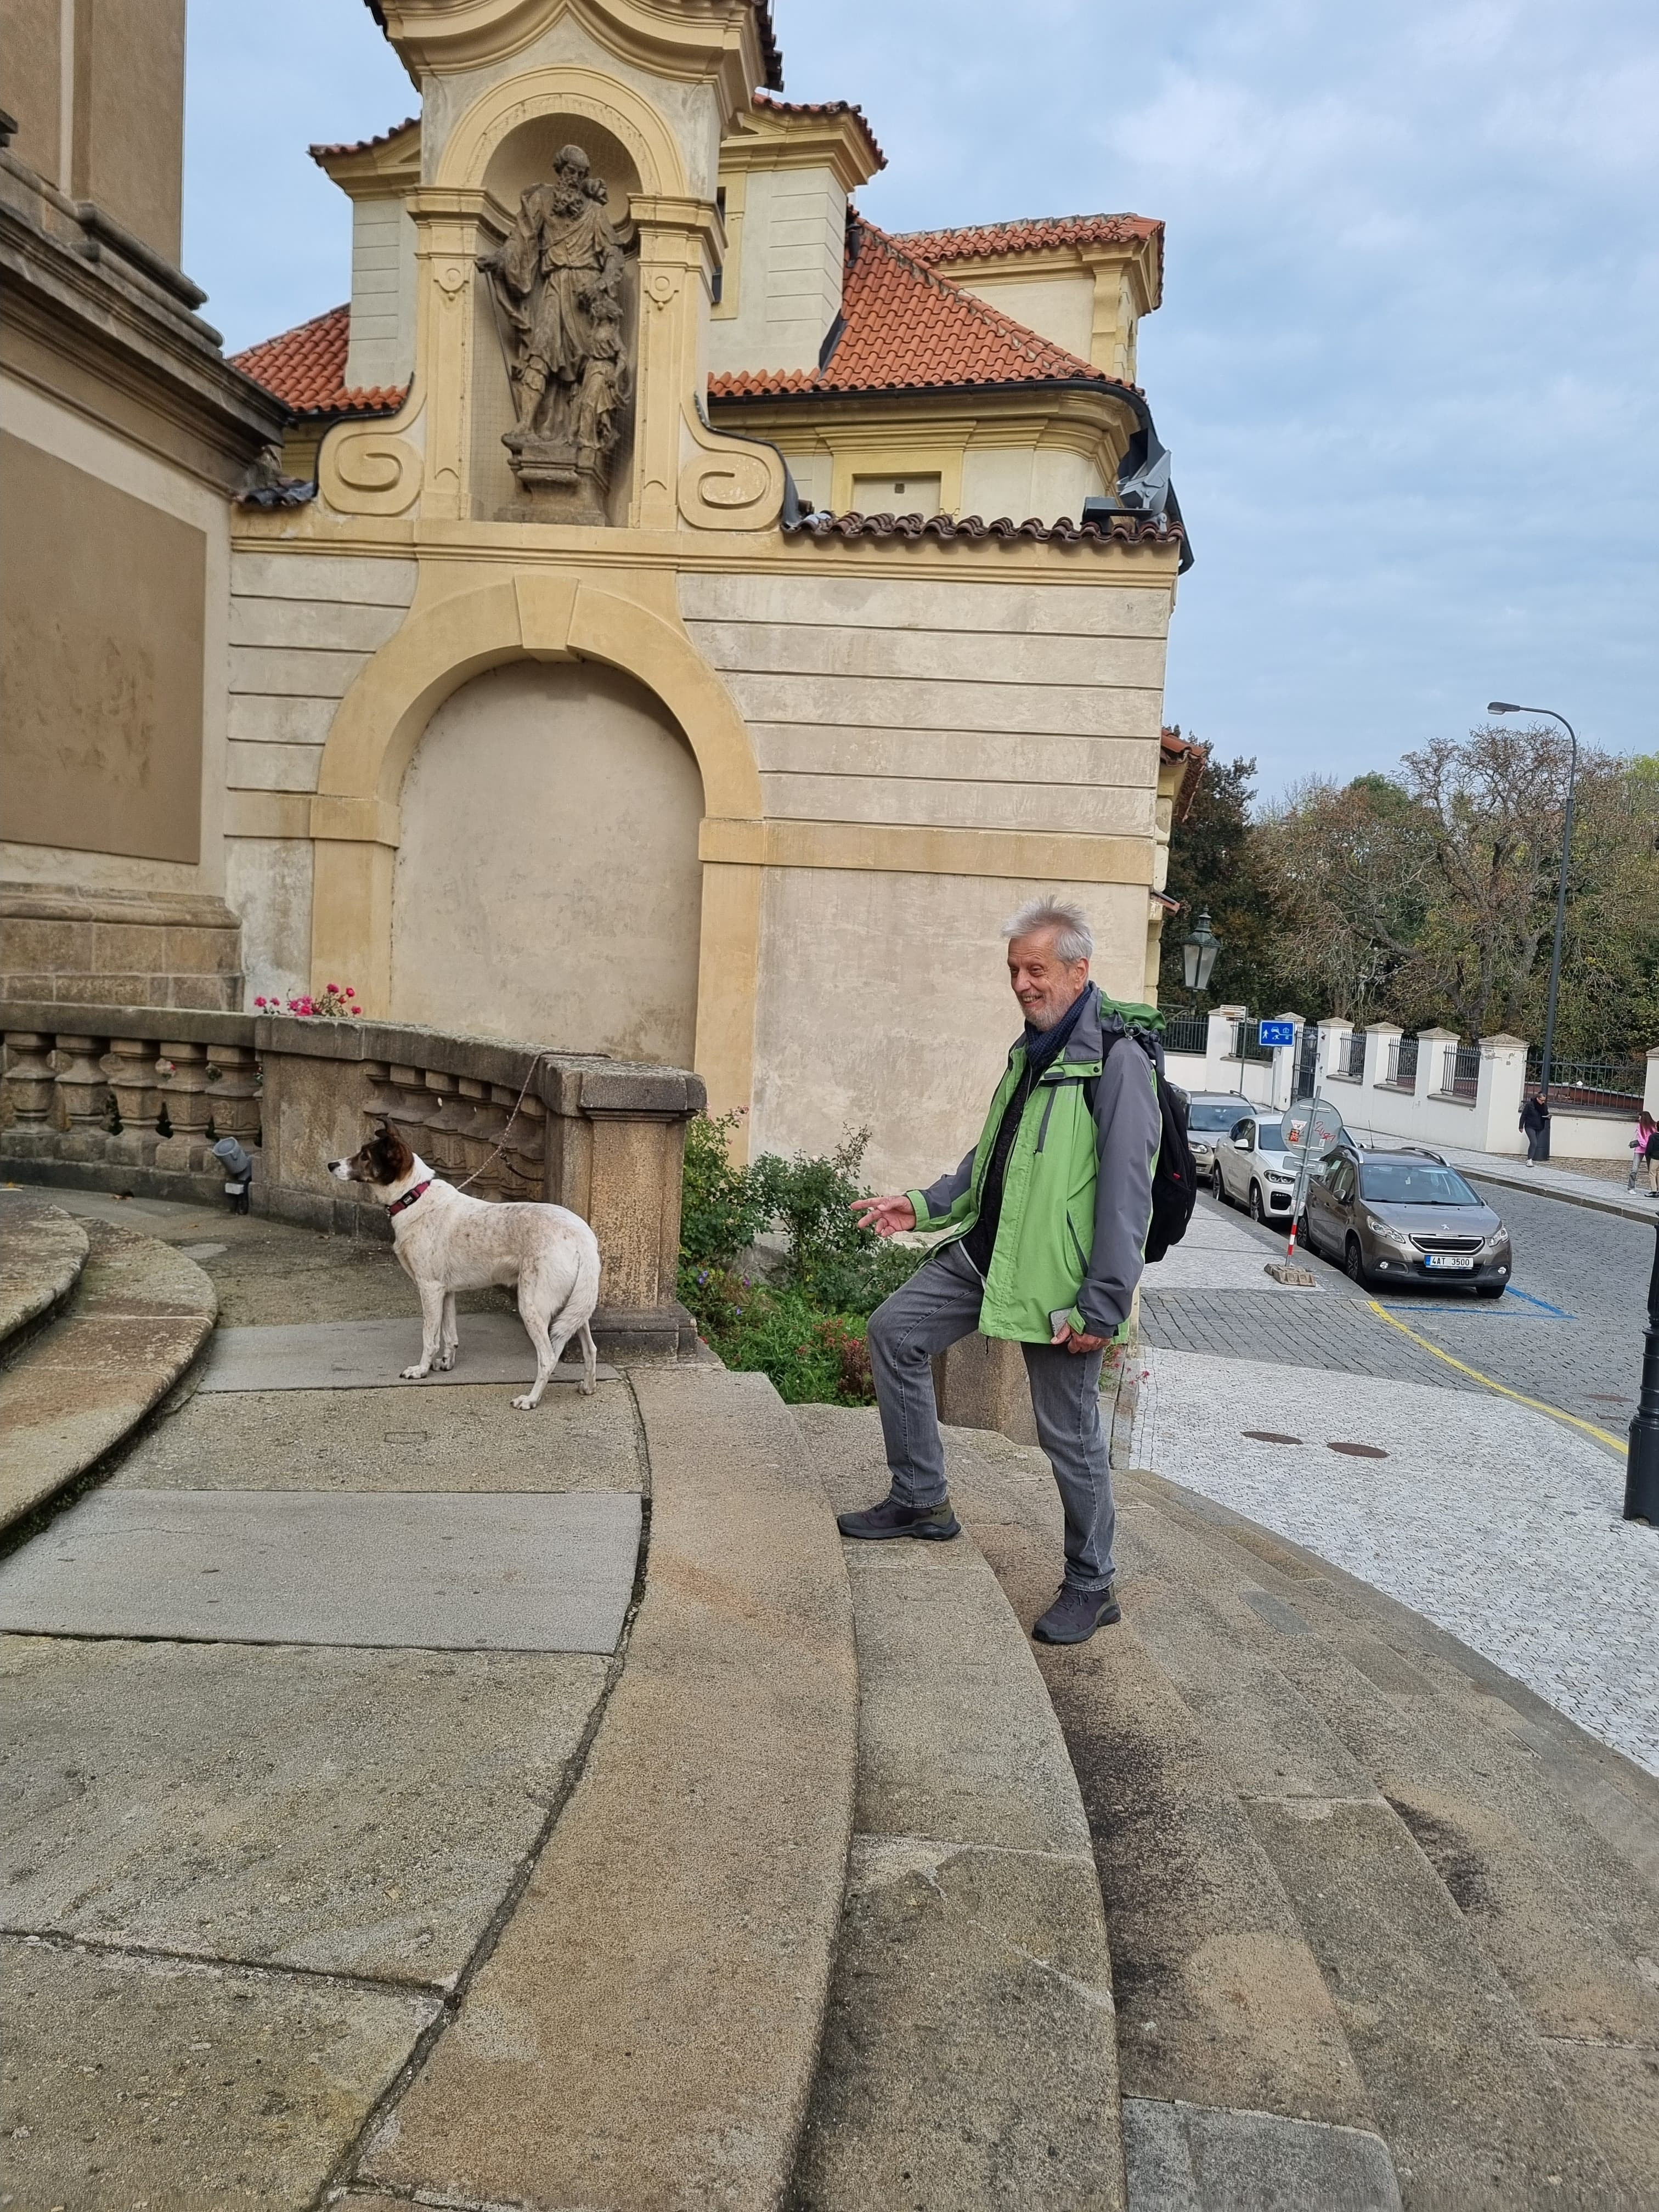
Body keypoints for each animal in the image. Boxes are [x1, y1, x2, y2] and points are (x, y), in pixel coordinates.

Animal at [327, 1124, 601, 1415]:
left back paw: (531, 1399)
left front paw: (421, 1370)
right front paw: (446, 1363)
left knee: (548, 1358)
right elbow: (450, 1334)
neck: (413, 1198)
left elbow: (430, 1337)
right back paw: (588, 1386)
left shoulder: (429, 1288)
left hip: (533, 1305)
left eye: (365, 1156)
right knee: (591, 1348)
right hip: (576, 1306)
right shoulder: (445, 1292)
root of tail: (582, 1236)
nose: (331, 1165)